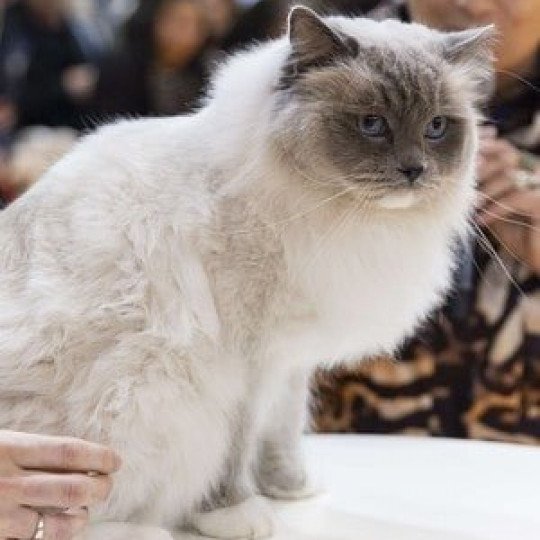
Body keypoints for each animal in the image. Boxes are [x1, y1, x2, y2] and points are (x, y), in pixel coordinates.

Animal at [0, 5, 494, 540]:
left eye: (437, 127)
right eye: (372, 124)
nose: (414, 170)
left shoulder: (290, 358)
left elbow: (282, 431)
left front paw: (291, 489)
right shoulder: (246, 363)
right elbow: (237, 451)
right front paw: (238, 514)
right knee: (74, 519)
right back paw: (148, 532)